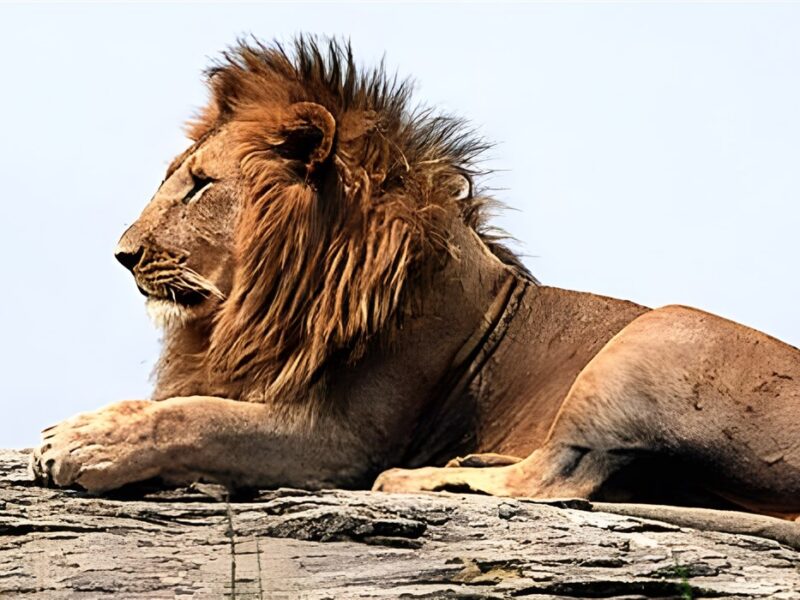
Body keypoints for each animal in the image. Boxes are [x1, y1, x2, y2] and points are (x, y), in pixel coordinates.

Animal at [30, 38, 800, 523]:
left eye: (198, 186)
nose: (122, 255)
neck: (264, 300)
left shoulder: (341, 440)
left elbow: (198, 418)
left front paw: (86, 444)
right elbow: (180, 404)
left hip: (661, 330)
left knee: (560, 479)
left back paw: (419, 478)